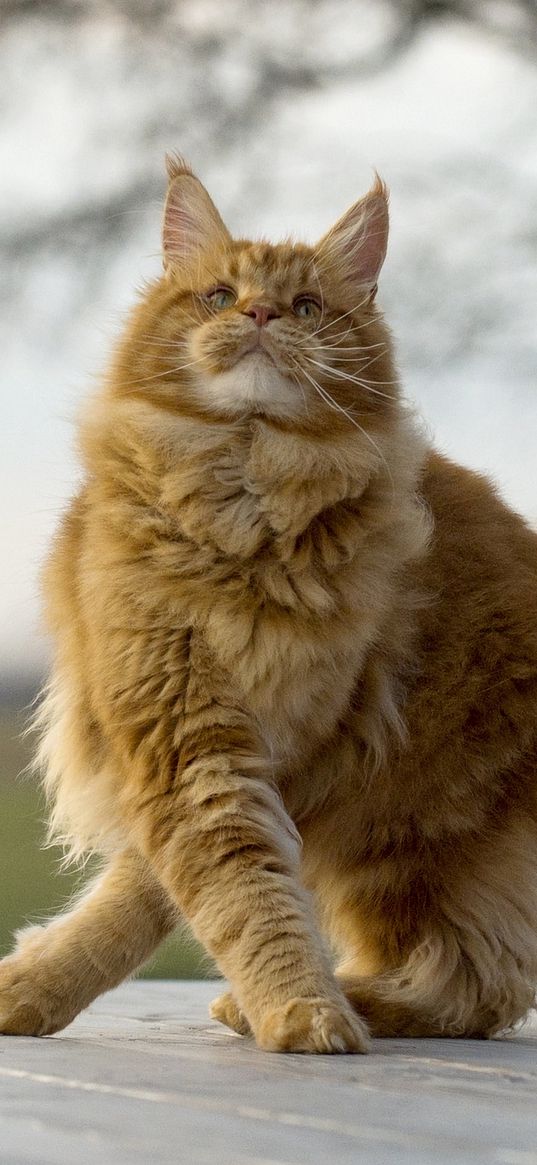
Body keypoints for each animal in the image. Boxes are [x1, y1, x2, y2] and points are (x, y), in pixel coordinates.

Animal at [1, 154, 535, 1057]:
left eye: (307, 307)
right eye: (220, 295)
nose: (257, 312)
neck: (242, 497)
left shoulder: (266, 740)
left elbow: (231, 888)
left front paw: (305, 1012)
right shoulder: (177, 724)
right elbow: (222, 881)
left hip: (415, 844)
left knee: (482, 981)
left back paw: (345, 1002)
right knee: (486, 977)